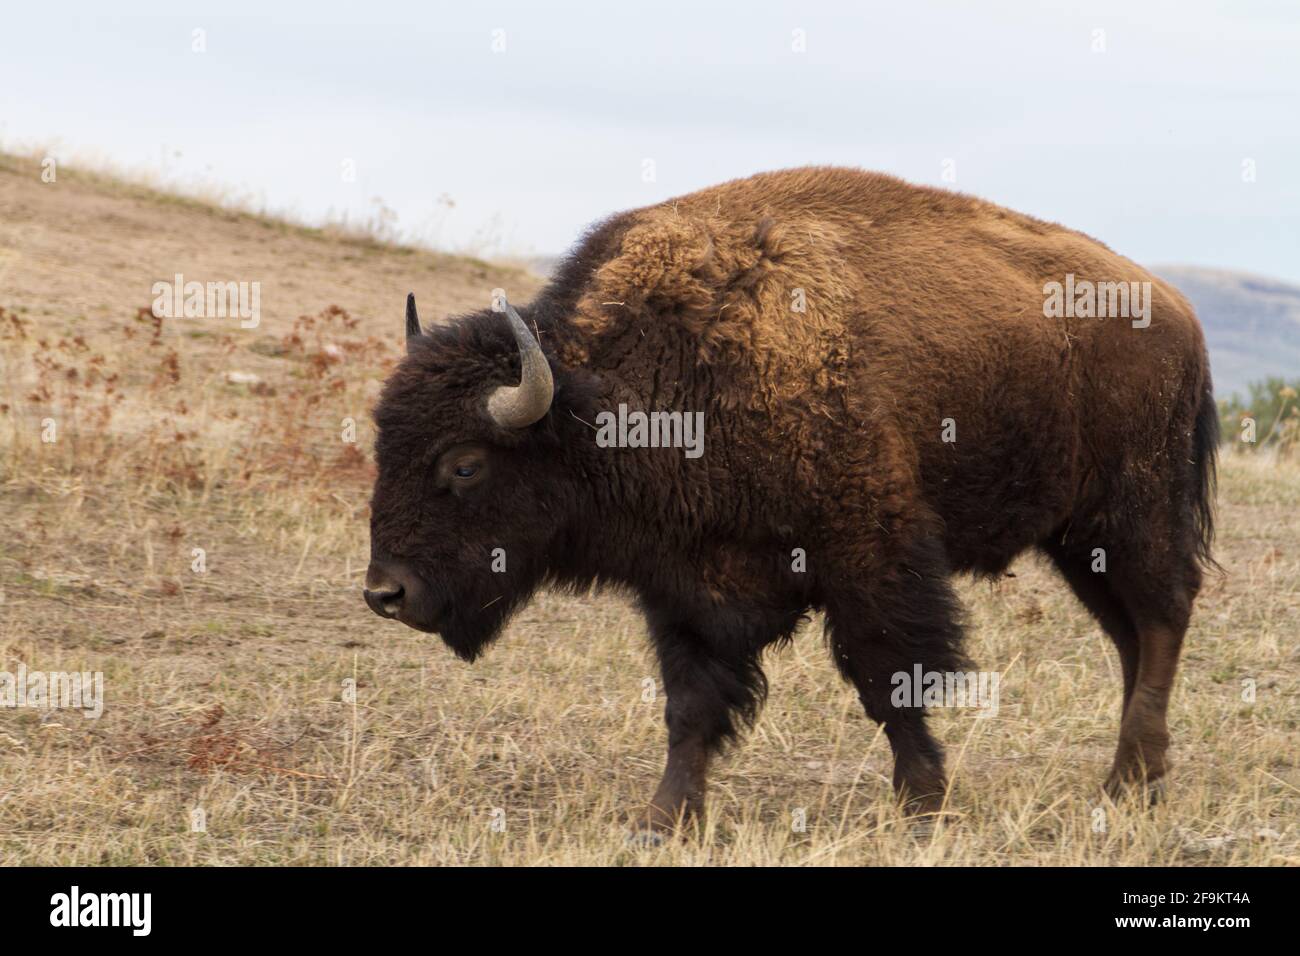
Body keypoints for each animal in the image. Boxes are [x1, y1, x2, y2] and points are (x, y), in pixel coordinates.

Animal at [361, 167, 1211, 832]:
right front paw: (663, 820)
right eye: (381, 445)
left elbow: (891, 681)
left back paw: (1129, 783)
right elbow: (690, 706)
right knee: (1131, 635)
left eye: (464, 465)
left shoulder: (870, 561)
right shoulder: (683, 587)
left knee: (1162, 617)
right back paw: (1139, 778)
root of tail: (1178, 311)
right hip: (1077, 541)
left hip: (1131, 514)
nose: (384, 593)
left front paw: (923, 805)